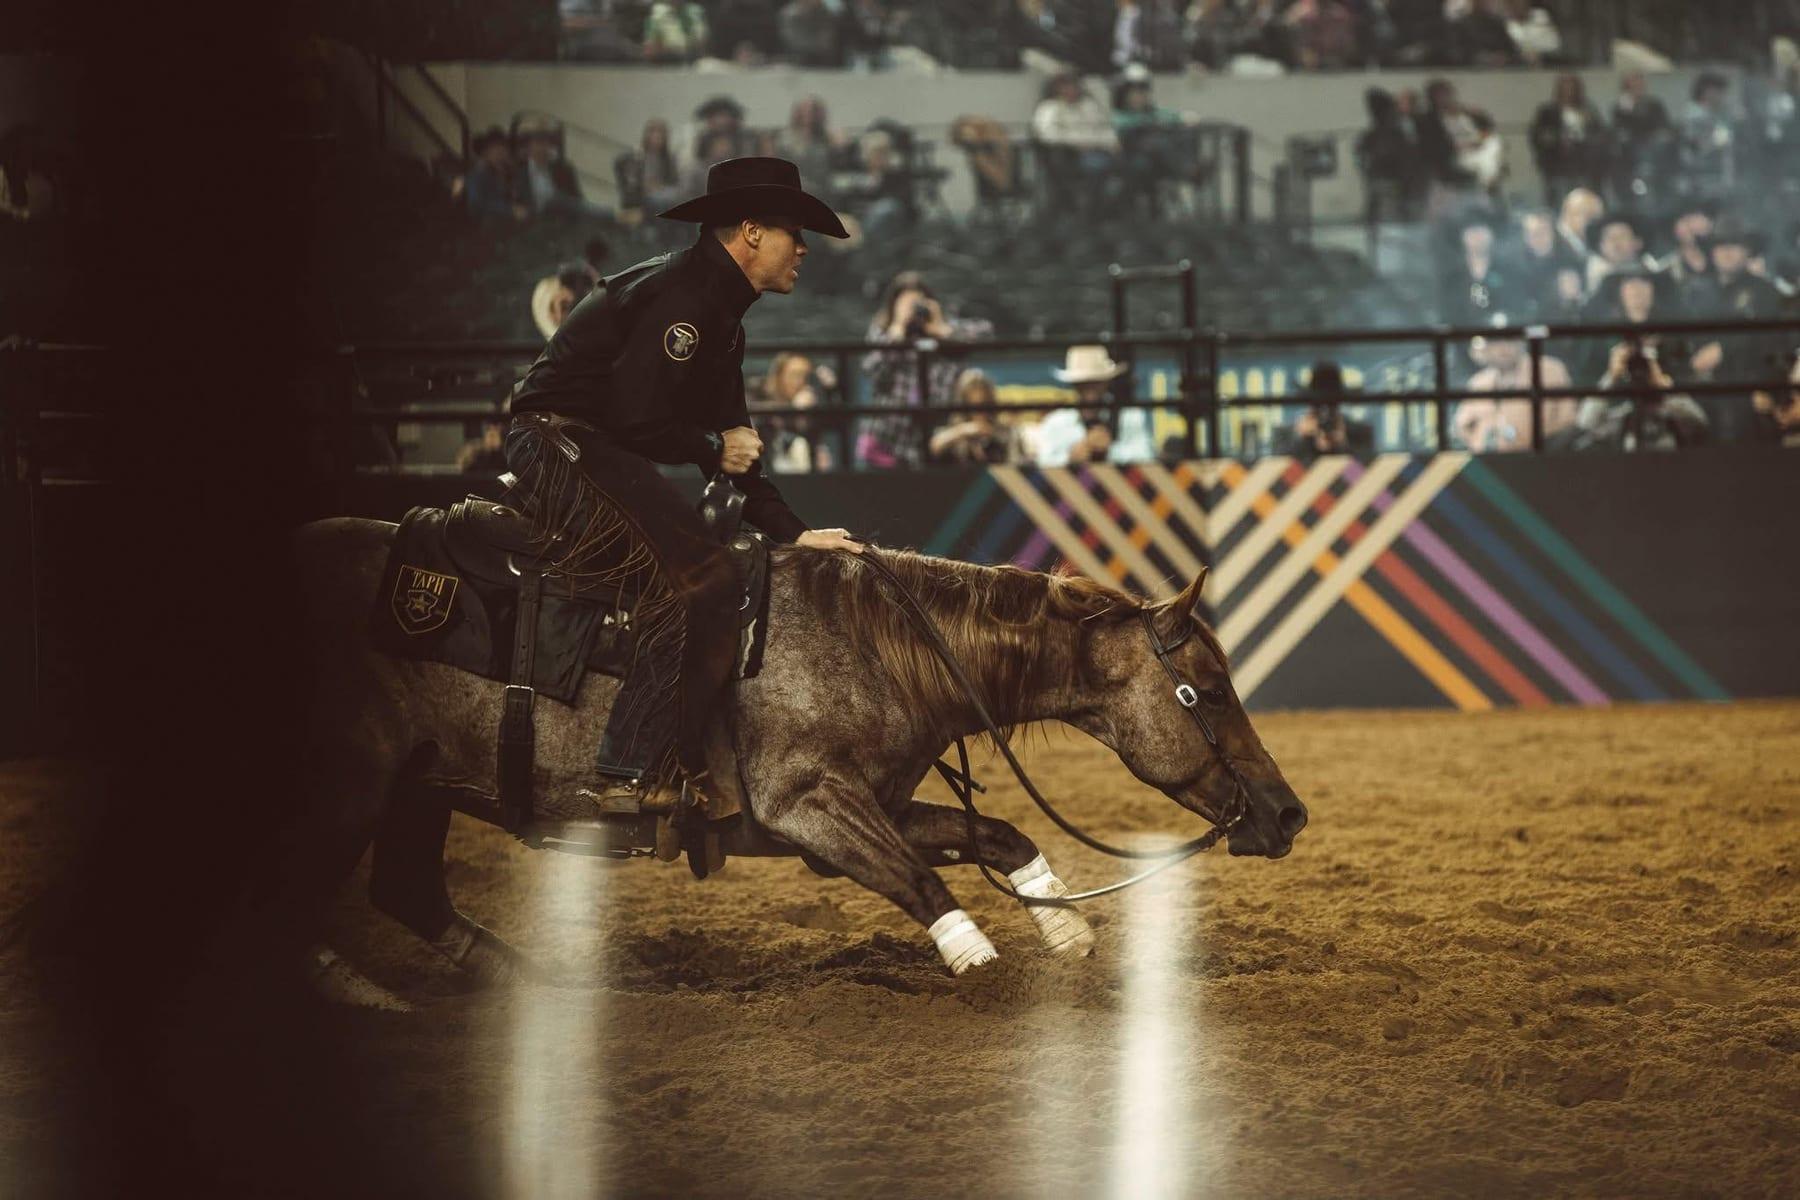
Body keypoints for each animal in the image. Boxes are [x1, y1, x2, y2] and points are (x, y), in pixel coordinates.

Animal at [291, 518, 1309, 981]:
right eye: (1208, 691)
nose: (1289, 813)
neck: (879, 645)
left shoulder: (877, 802)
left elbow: (999, 837)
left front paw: (1064, 929)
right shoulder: (806, 810)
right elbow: (918, 878)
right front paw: (977, 961)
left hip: (420, 785)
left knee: (407, 891)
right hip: (350, 790)